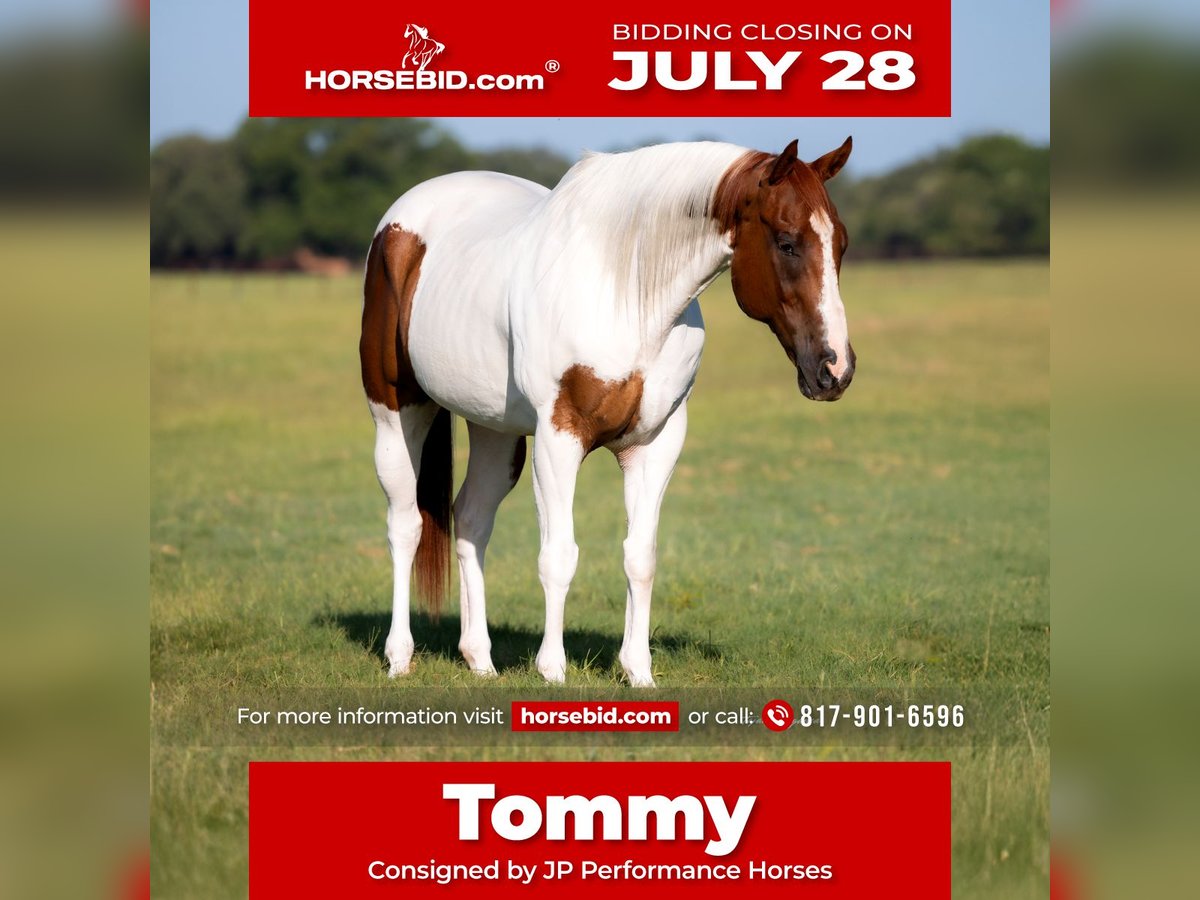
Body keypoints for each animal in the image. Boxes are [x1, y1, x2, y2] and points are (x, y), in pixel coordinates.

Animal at [359, 138, 856, 687]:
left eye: (841, 245)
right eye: (788, 243)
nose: (835, 369)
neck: (627, 292)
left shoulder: (654, 444)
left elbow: (640, 556)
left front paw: (639, 671)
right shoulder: (559, 439)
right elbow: (559, 556)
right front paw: (552, 670)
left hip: (493, 429)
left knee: (470, 519)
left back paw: (480, 660)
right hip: (397, 411)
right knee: (406, 525)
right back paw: (400, 656)